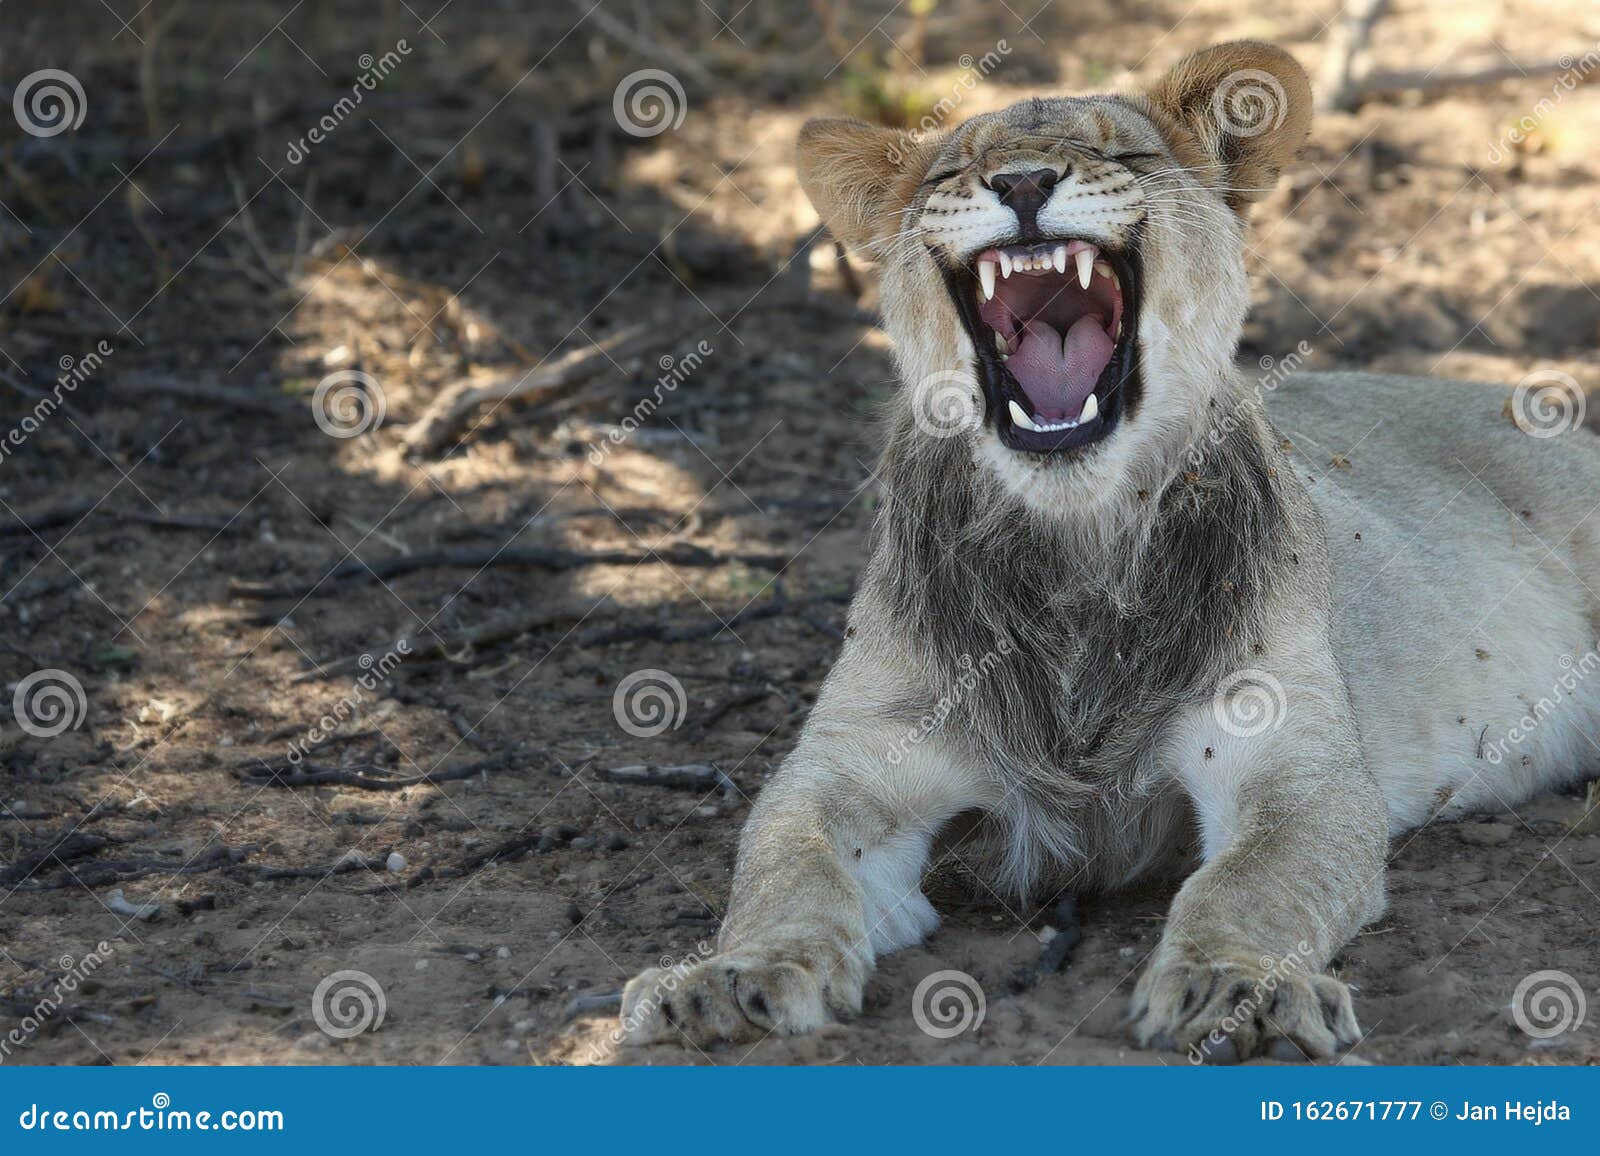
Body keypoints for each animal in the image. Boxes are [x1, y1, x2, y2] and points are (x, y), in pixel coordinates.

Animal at [614, 42, 1600, 1056]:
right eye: (949, 173)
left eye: (1118, 154)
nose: (1020, 181)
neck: (1075, 548)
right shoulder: (852, 763)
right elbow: (785, 866)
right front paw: (732, 978)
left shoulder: (1292, 762)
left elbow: (1250, 885)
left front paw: (1235, 987)